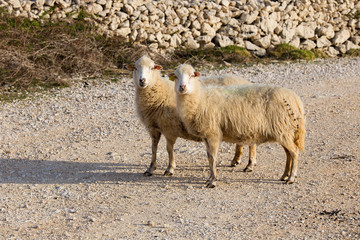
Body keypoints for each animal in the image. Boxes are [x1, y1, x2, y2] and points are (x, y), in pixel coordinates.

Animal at [127, 55, 256, 176]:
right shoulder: (153, 127)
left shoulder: (169, 127)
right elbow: (154, 148)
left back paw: (250, 165)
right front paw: (150, 168)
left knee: (251, 143)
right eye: (136, 68)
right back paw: (236, 160)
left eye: (152, 68)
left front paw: (170, 168)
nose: (142, 80)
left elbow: (169, 149)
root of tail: (247, 82)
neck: (159, 91)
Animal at [173, 63, 306, 188]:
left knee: (294, 152)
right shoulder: (206, 136)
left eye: (192, 75)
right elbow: (210, 158)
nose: (182, 87)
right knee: (289, 153)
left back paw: (291, 178)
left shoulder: (213, 134)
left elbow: (213, 157)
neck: (200, 99)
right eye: (175, 76)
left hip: (283, 130)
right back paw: (284, 175)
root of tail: (295, 99)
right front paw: (209, 179)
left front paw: (213, 181)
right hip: (284, 131)